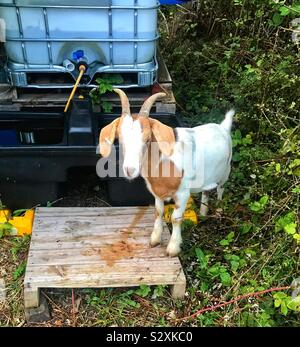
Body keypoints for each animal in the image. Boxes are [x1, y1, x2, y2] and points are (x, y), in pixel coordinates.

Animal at [99, 89, 233, 258]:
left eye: (148, 139)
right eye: (120, 139)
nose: (130, 169)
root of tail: (223, 127)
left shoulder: (183, 193)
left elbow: (176, 219)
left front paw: (173, 248)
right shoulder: (156, 192)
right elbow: (158, 211)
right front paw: (155, 239)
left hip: (226, 170)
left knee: (221, 189)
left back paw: (219, 211)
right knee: (207, 191)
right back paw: (203, 213)